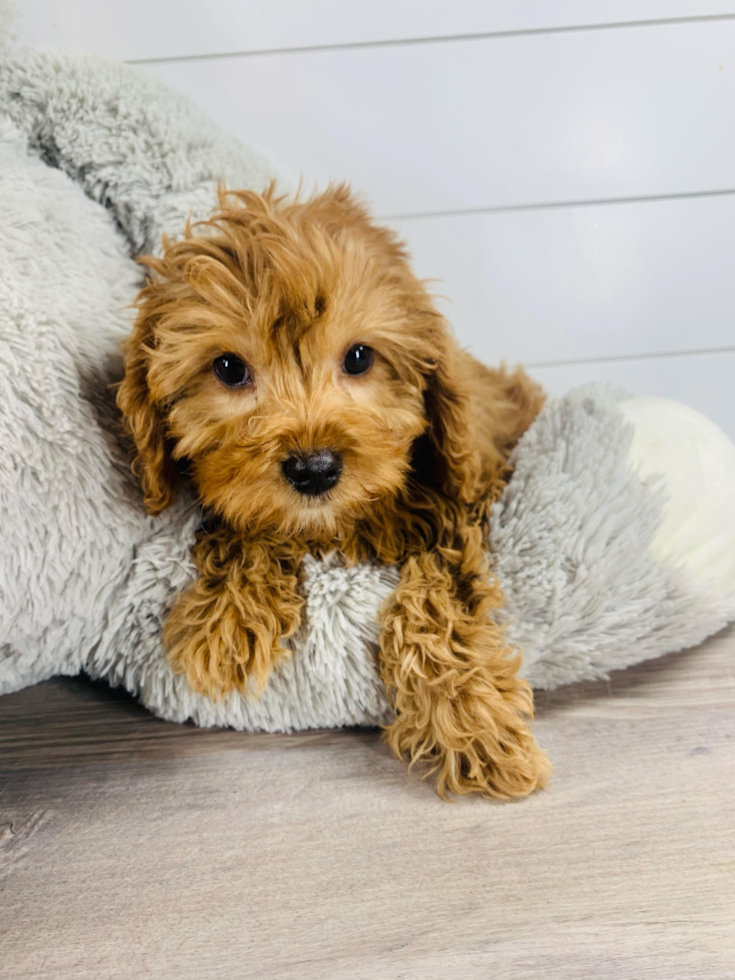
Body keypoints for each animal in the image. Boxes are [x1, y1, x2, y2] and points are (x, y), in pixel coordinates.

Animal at [118, 182, 548, 796]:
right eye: (228, 368)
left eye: (359, 357)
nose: (314, 469)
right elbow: (246, 522)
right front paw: (225, 618)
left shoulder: (454, 512)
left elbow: (436, 597)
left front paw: (472, 720)